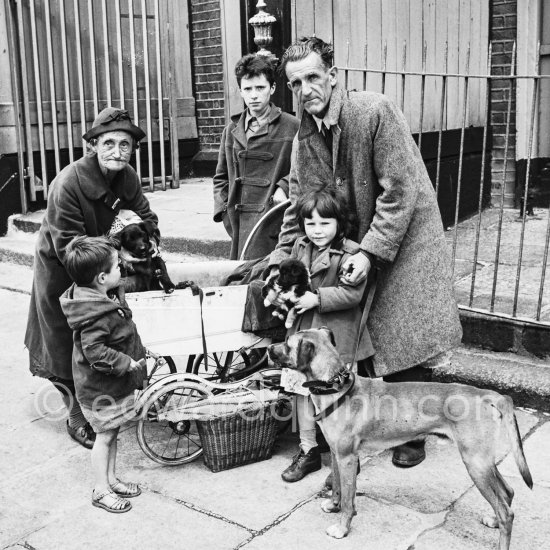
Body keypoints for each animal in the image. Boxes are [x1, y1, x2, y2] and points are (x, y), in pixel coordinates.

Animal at [268, 330, 536, 548]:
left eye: (287, 343)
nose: (269, 348)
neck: (336, 387)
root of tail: (487, 394)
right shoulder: (336, 454)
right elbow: (337, 489)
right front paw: (333, 506)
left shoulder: (347, 458)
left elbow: (348, 500)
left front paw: (342, 528)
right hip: (484, 462)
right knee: (508, 492)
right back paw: (493, 520)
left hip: (476, 463)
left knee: (507, 512)